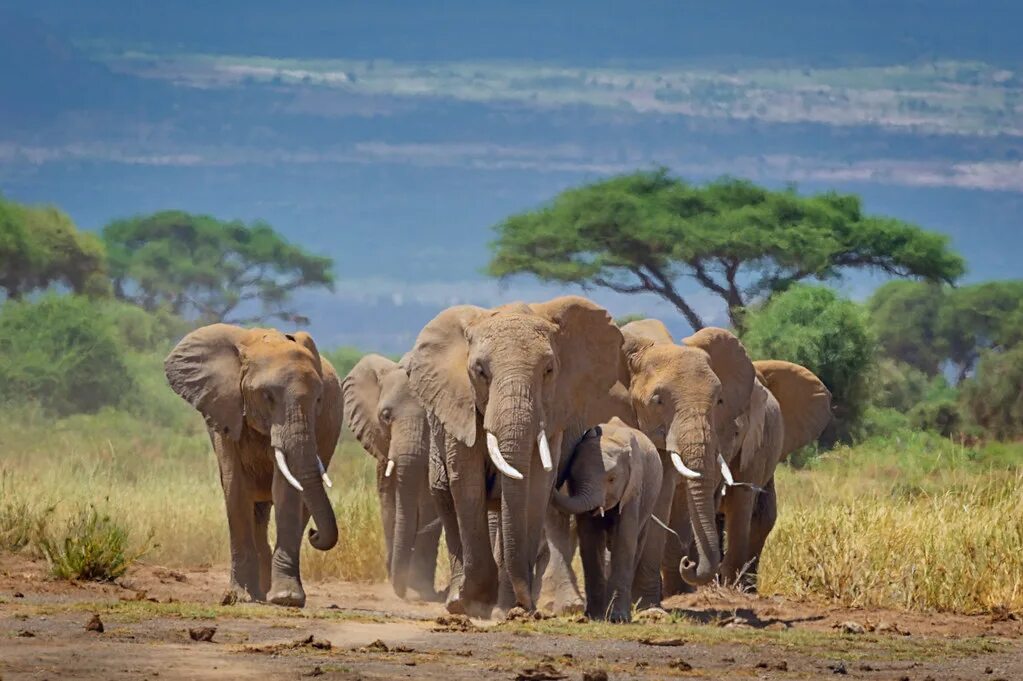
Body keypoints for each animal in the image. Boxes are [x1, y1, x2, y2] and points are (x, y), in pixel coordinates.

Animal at [165, 323, 341, 605]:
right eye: (267, 396)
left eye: (318, 401)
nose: (316, 534)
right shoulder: (225, 408)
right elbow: (234, 487)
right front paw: (239, 596)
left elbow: (286, 488)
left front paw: (286, 598)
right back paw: (258, 593)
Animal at [341, 355, 441, 601]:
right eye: (385, 416)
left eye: (431, 418)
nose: (402, 591)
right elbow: (389, 502)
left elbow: (428, 503)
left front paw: (419, 587)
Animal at [405, 294, 613, 613]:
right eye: (480, 371)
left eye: (549, 370)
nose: (529, 605)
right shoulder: (458, 404)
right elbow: (467, 482)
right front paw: (472, 601)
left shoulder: (554, 412)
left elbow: (536, 485)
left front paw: (508, 606)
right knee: (445, 496)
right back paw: (459, 600)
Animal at [552, 413, 662, 621]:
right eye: (572, 476)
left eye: (612, 479)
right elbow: (589, 539)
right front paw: (594, 616)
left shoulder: (634, 488)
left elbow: (624, 539)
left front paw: (618, 618)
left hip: (650, 500)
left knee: (637, 542)